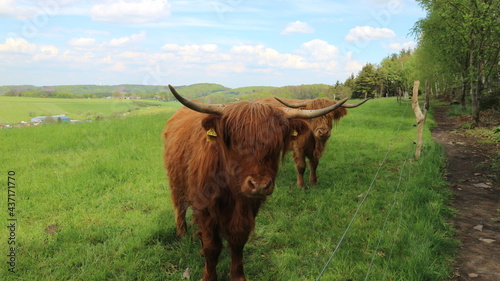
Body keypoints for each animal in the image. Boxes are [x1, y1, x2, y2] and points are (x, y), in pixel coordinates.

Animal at [163, 85, 348, 280]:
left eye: (276, 144)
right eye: (236, 142)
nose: (259, 185)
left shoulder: (249, 207)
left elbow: (238, 241)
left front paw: (238, 276)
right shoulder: (205, 208)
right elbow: (211, 246)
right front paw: (209, 277)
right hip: (176, 181)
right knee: (179, 206)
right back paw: (182, 233)